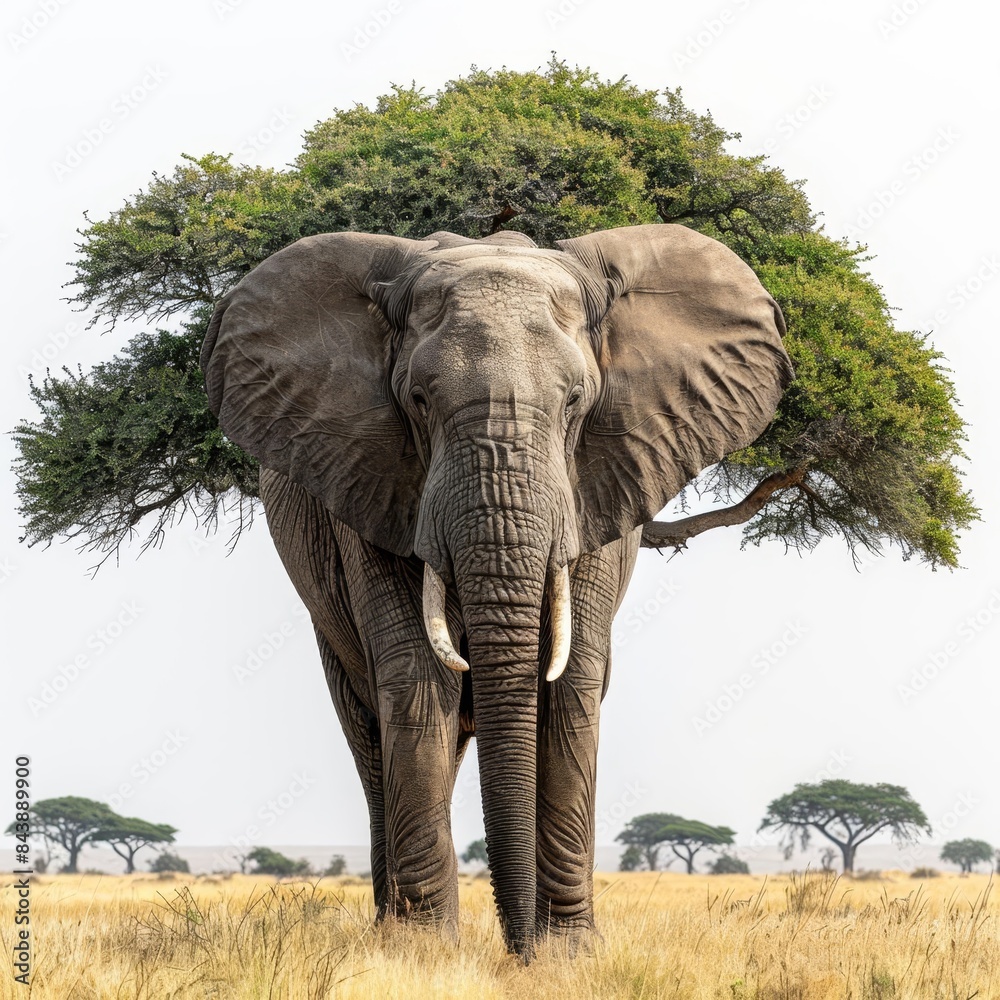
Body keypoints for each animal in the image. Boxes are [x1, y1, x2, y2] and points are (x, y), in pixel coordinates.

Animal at [201, 223, 791, 959]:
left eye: (576, 402)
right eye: (419, 401)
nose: (517, 952)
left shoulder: (604, 486)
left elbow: (571, 685)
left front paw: (565, 955)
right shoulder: (370, 483)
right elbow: (417, 679)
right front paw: (423, 954)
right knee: (372, 735)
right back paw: (389, 926)